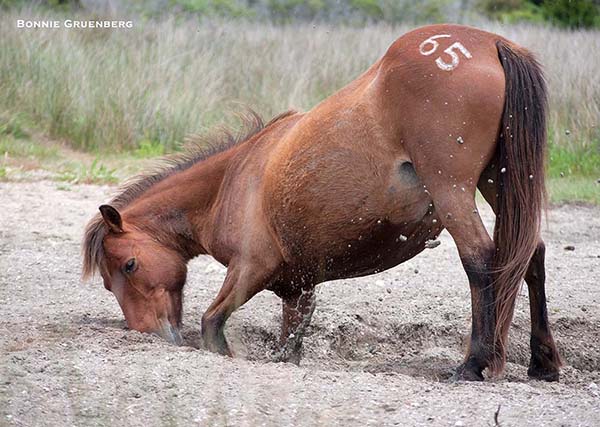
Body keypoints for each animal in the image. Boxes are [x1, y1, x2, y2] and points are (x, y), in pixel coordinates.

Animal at [82, 24, 560, 382]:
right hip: (498, 184)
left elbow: (212, 326)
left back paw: (474, 363)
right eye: (108, 283)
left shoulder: (250, 268)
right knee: (529, 254)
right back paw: (543, 363)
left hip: (453, 190)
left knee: (480, 258)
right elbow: (288, 345)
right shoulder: (299, 289)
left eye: (128, 265)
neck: (229, 181)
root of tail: (489, 43)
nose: (151, 335)